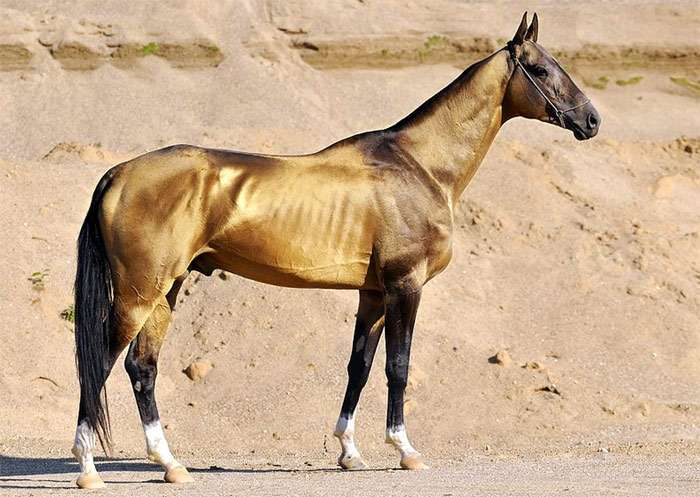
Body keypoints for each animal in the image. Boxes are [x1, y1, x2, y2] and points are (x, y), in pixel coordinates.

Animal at [72, 13, 600, 486]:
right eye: (543, 69)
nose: (592, 120)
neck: (420, 166)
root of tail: (118, 173)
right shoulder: (405, 286)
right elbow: (398, 367)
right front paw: (405, 450)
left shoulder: (373, 294)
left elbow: (359, 367)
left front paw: (349, 452)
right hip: (139, 294)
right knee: (99, 364)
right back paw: (88, 469)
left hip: (166, 291)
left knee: (142, 367)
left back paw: (171, 465)